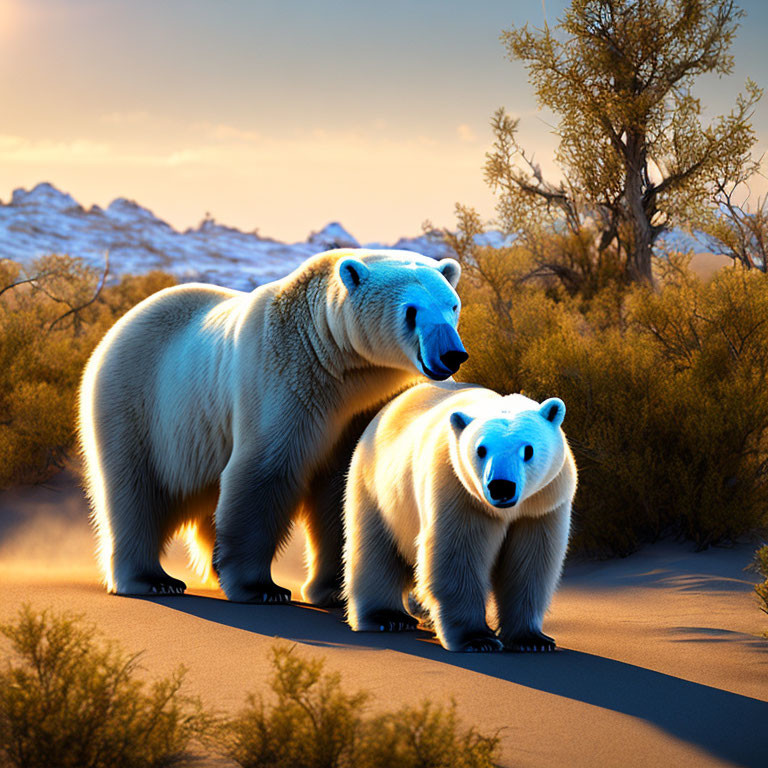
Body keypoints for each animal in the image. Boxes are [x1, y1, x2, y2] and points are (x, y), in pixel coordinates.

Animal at [82, 249, 468, 604]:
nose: (452, 354)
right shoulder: (286, 375)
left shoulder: (370, 402)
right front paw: (261, 587)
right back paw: (152, 579)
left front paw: (333, 590)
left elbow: (342, 487)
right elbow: (266, 471)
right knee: (134, 490)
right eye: (411, 311)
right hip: (138, 400)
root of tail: (116, 328)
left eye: (452, 305)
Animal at [342, 380, 576, 652]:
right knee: (374, 549)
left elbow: (531, 563)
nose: (501, 487)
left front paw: (531, 640)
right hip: (377, 488)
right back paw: (387, 617)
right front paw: (478, 639)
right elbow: (458, 557)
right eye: (481, 450)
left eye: (528, 450)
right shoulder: (458, 491)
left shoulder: (541, 505)